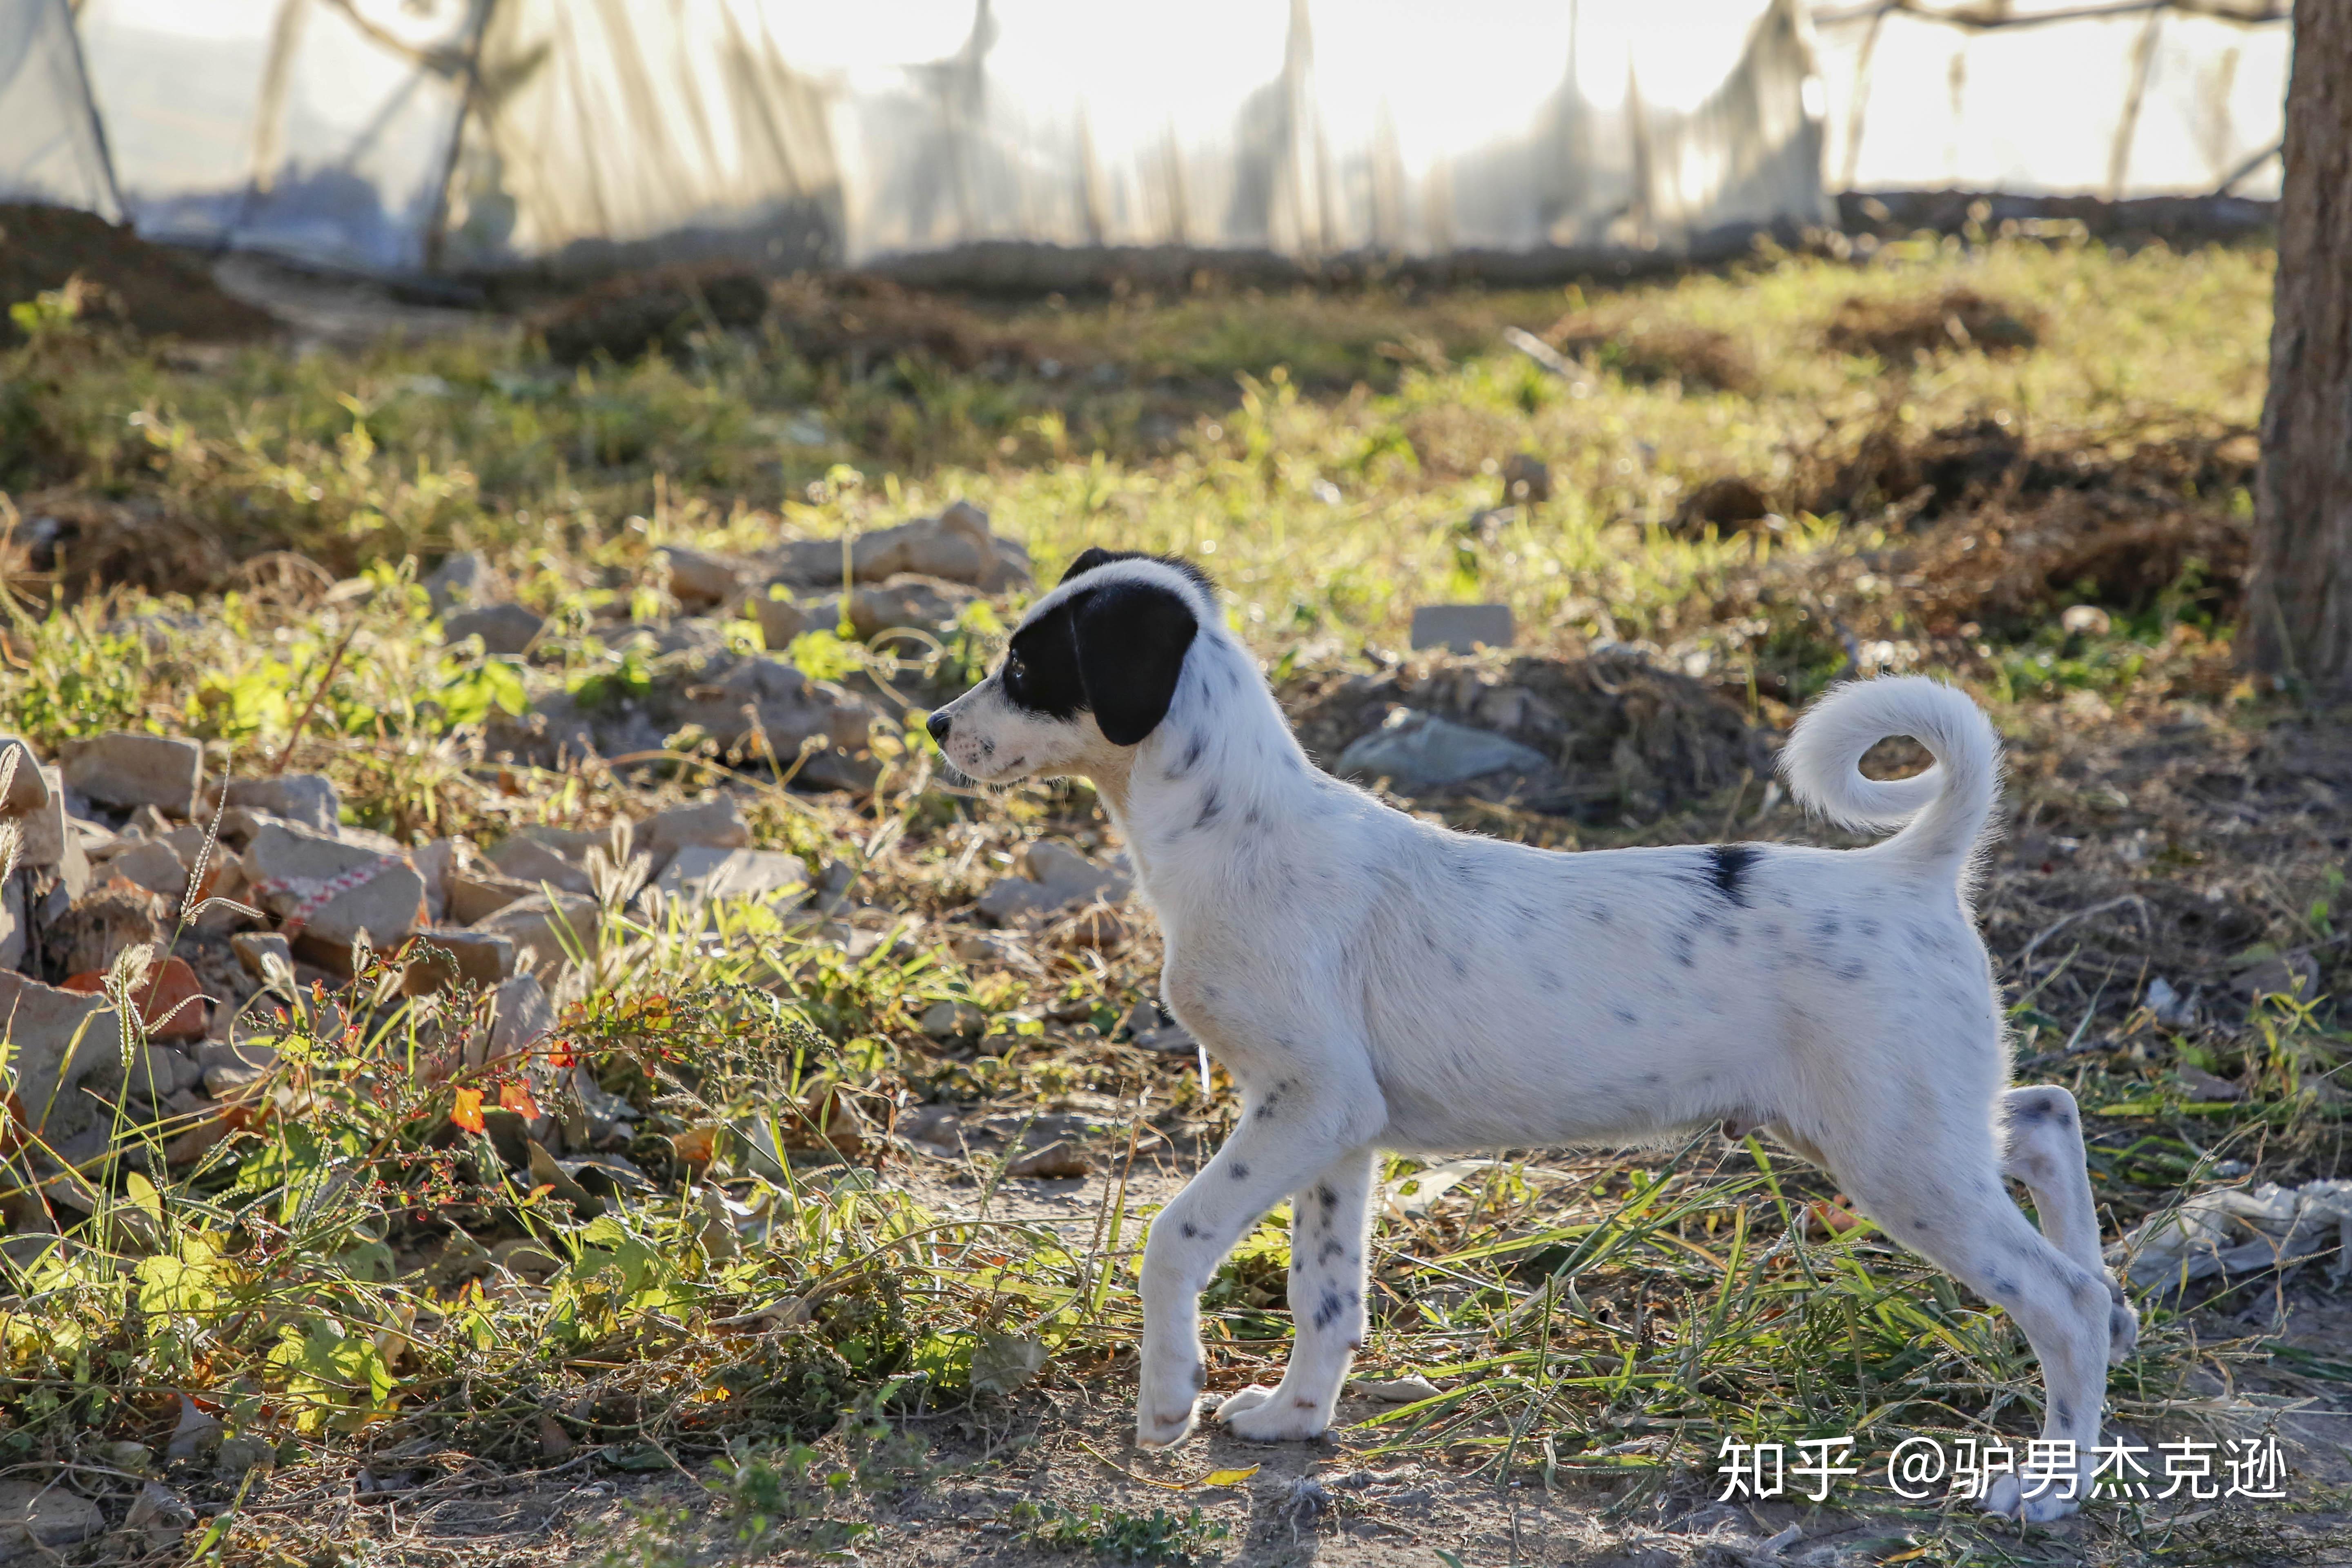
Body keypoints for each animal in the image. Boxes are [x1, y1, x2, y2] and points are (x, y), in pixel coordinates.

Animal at [927, 552, 2145, 1523]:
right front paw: (1294, 1415)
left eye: (1028, 669)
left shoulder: (1307, 1102)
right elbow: (1326, 1294)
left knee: (2058, 1298)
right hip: (1906, 1122)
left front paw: (1166, 1398)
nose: (934, 727)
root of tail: (1911, 867)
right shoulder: (1336, 1131)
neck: (1234, 828)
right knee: (2043, 1117)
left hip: (1895, 1154)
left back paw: (2052, 1486)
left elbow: (1176, 1237)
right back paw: (2114, 1312)